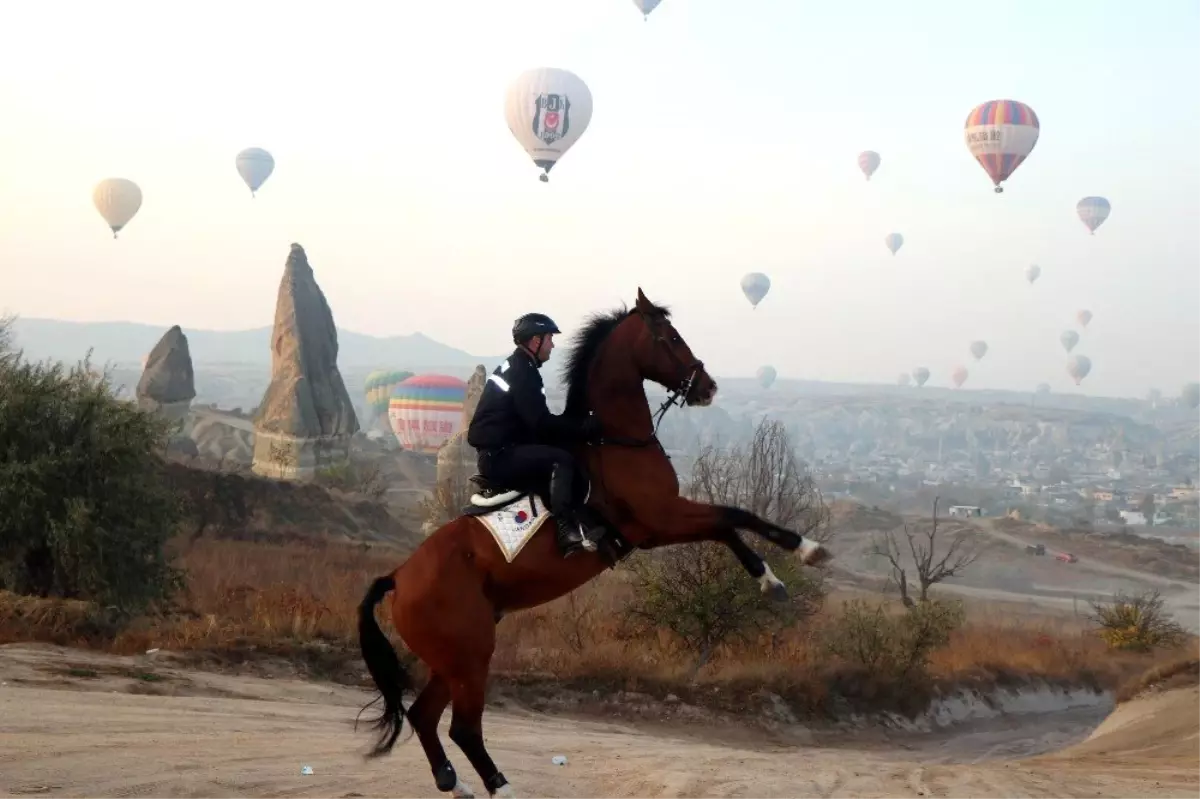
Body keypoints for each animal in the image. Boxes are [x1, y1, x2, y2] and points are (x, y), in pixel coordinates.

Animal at [352, 287, 825, 796]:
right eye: (670, 337)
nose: (708, 387)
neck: (616, 440)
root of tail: (399, 577)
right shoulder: (660, 520)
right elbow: (732, 518)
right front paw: (794, 558)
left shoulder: (663, 522)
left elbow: (729, 524)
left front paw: (782, 569)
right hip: (470, 654)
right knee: (463, 727)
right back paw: (502, 787)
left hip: (453, 658)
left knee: (423, 716)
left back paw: (455, 784)